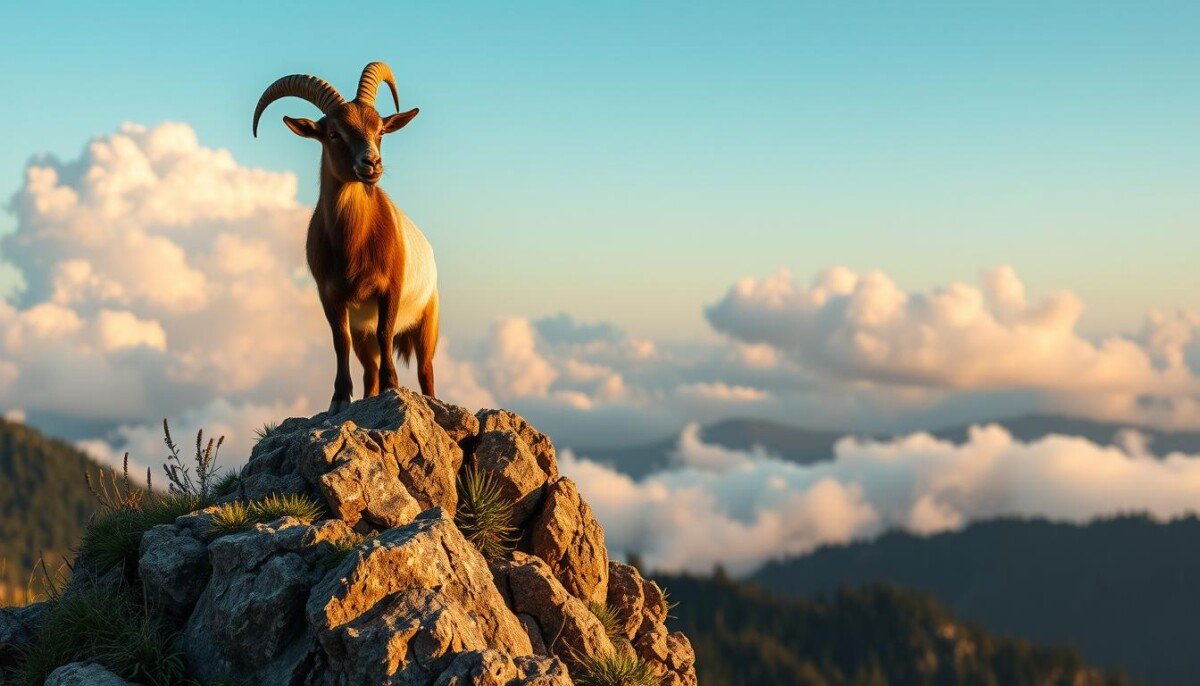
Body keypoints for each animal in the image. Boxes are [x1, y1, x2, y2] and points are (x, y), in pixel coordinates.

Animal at [254, 62, 438, 412]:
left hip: (427, 318)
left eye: (380, 131)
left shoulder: (390, 288)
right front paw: (339, 398)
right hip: (364, 335)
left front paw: (393, 386)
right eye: (334, 133)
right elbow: (340, 341)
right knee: (369, 370)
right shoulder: (329, 294)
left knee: (425, 369)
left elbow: (386, 330)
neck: (355, 245)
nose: (372, 163)